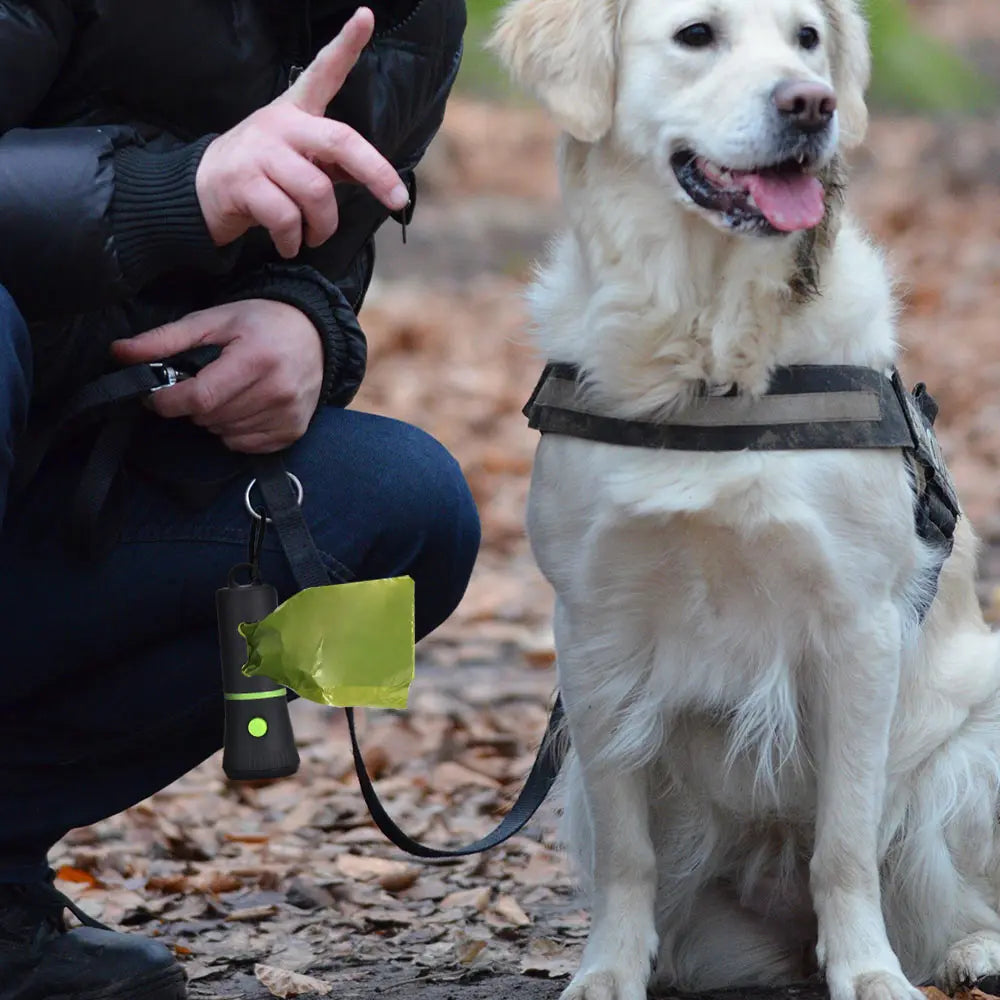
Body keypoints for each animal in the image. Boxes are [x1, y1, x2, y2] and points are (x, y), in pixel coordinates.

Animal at [488, 1, 1000, 1000]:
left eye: (807, 38)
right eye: (697, 34)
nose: (812, 104)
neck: (710, 360)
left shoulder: (859, 628)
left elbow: (845, 843)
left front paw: (868, 972)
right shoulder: (595, 634)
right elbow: (629, 854)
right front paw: (610, 968)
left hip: (972, 747)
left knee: (940, 889)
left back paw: (969, 950)